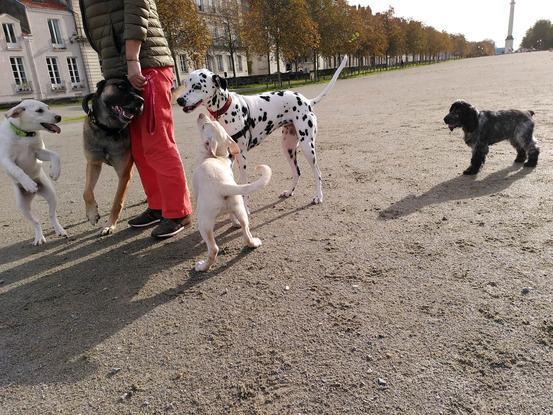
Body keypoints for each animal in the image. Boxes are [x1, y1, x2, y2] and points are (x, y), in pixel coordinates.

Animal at [0, 99, 67, 245]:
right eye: (39, 111)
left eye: (48, 107)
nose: (59, 117)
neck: (24, 134)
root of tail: (35, 194)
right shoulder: (6, 160)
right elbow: (18, 170)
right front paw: (29, 184)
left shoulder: (39, 152)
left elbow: (55, 155)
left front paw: (55, 172)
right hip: (22, 206)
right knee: (36, 222)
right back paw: (39, 237)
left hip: (51, 195)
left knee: (52, 215)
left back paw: (59, 230)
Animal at [82, 78, 143, 234]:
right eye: (120, 86)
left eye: (137, 90)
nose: (141, 100)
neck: (108, 130)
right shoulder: (93, 164)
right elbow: (86, 192)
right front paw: (92, 214)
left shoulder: (124, 173)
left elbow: (117, 201)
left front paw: (109, 225)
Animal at [177, 55, 348, 205]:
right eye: (186, 84)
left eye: (197, 86)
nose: (179, 100)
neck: (227, 108)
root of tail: (307, 101)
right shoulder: (228, 156)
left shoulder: (241, 158)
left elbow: (243, 186)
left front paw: (245, 208)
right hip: (288, 148)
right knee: (296, 172)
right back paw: (289, 191)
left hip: (308, 147)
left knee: (317, 173)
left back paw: (318, 196)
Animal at [194, 113, 272, 272]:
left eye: (204, 126)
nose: (201, 114)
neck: (216, 156)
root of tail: (222, 185)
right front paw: (233, 222)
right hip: (240, 209)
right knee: (246, 231)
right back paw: (253, 242)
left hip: (204, 223)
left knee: (214, 249)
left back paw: (202, 266)